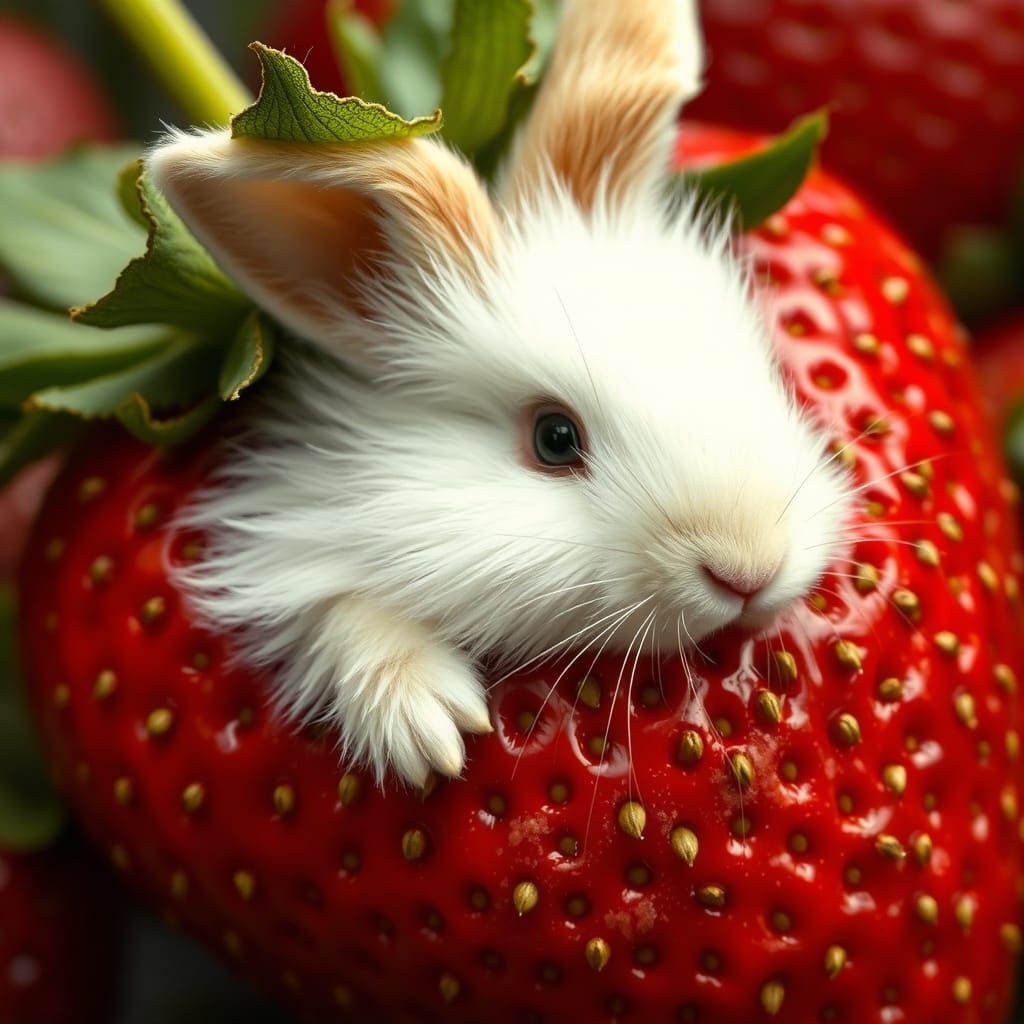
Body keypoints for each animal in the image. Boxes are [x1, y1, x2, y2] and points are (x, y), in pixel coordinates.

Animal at [147, 0, 852, 788]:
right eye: (554, 438)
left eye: (746, 361)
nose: (750, 570)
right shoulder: (291, 529)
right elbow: (332, 602)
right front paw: (431, 725)